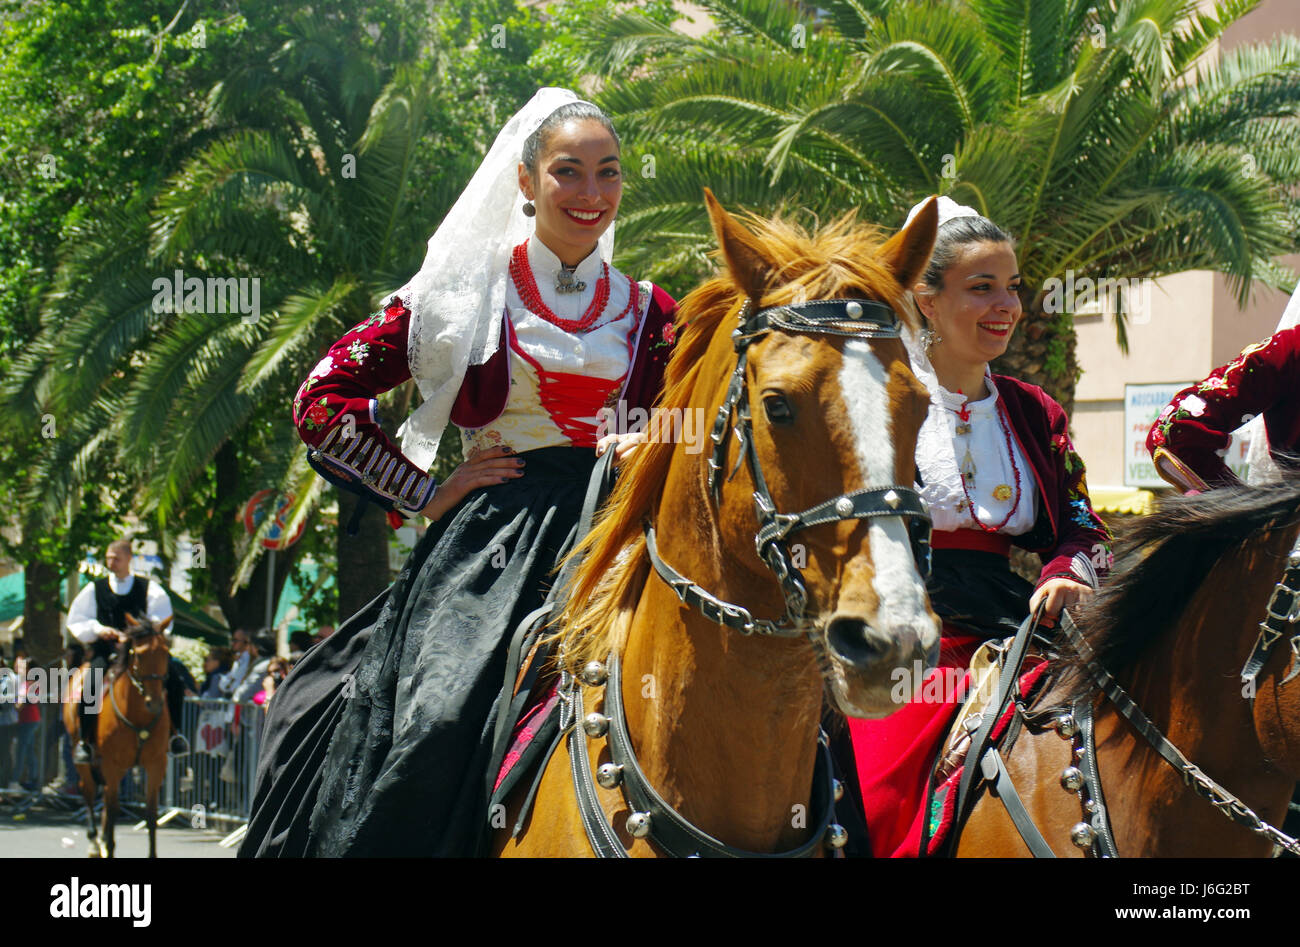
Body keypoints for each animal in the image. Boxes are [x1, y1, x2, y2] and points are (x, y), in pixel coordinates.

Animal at [62, 613, 172, 858]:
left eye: (165, 652)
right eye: (138, 654)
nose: (154, 703)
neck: (138, 716)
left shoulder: (156, 764)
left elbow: (151, 815)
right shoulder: (111, 764)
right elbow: (112, 811)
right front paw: (107, 844)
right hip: (85, 756)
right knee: (89, 792)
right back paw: (95, 842)